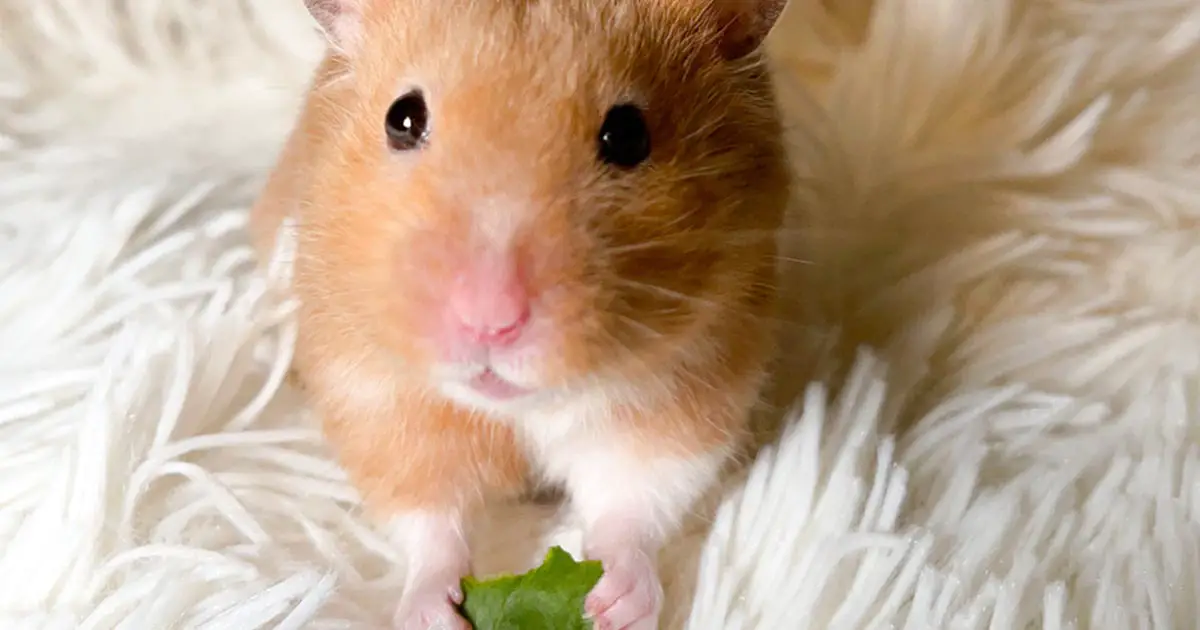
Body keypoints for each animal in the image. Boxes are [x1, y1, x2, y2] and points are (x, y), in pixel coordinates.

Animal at [251, 0, 793, 628]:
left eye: (629, 135)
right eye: (401, 118)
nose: (491, 321)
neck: (518, 409)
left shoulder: (692, 389)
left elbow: (632, 505)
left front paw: (612, 605)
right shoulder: (378, 403)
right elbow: (429, 522)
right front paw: (436, 614)